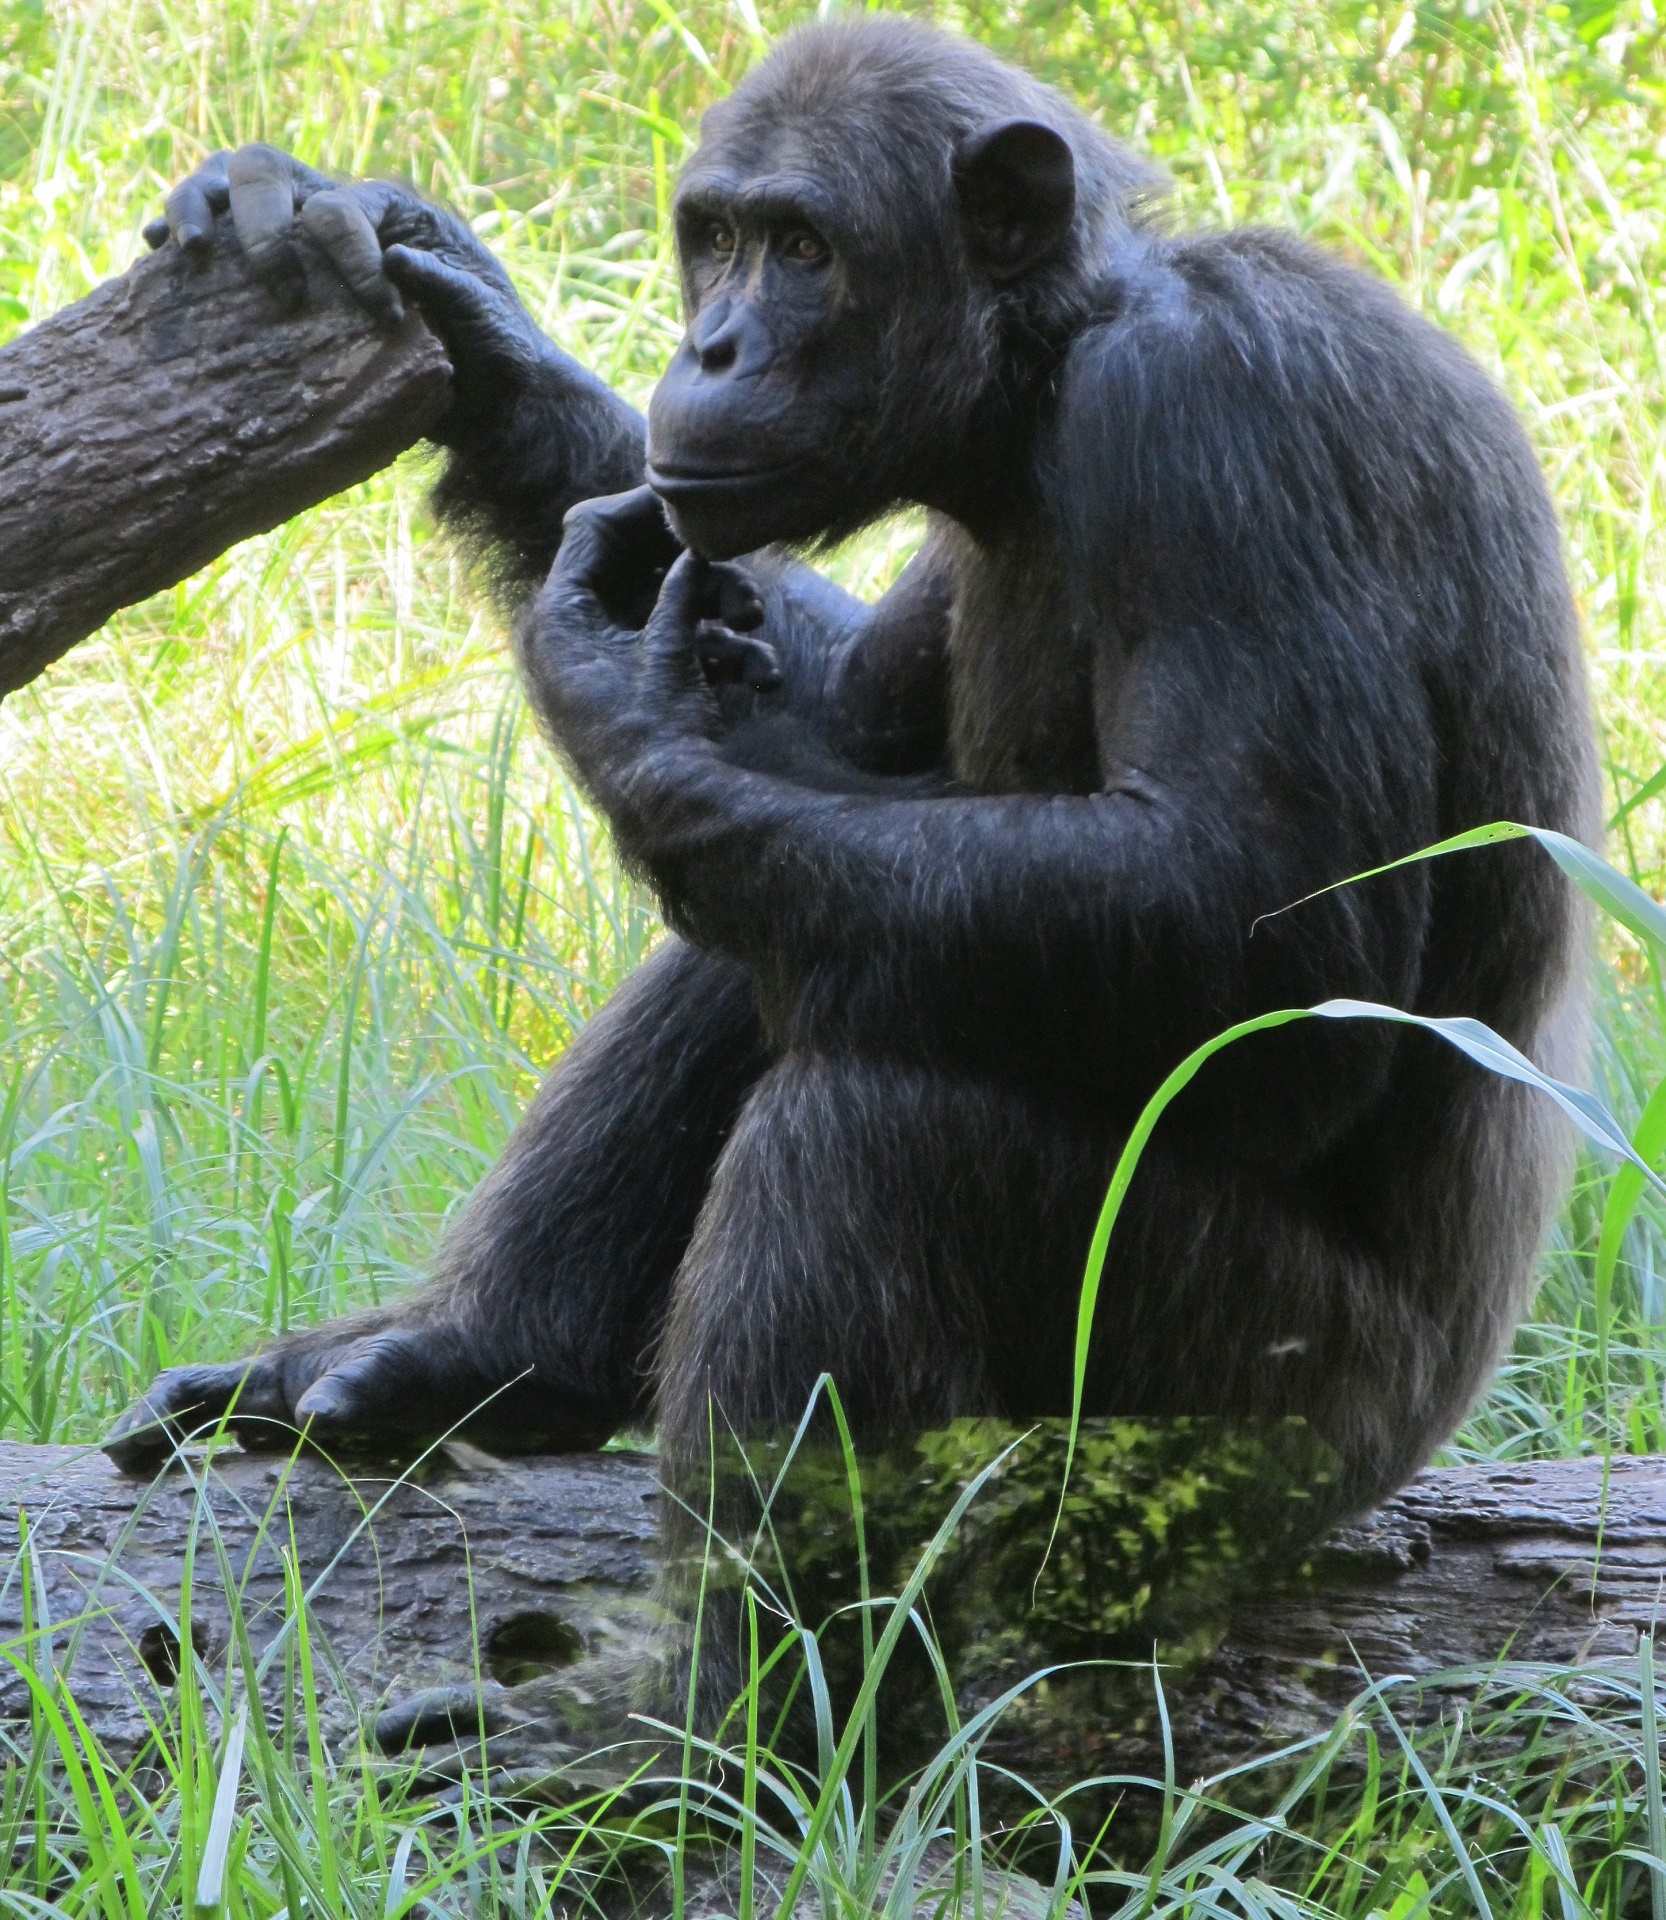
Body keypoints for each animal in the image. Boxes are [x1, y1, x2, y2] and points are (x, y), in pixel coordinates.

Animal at [110, 18, 1596, 1559]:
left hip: (1254, 1413)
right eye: (715, 238)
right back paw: (477, 1352)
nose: (711, 343)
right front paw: (474, 327)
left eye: (805, 248)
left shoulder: (1213, 419)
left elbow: (1268, 926)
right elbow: (843, 704)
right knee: (815, 918)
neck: (1048, 371)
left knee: (874, 1132)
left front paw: (629, 714)